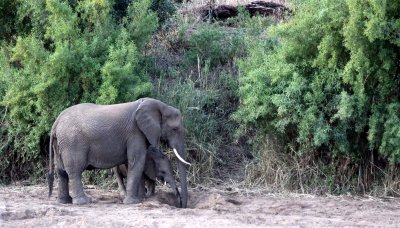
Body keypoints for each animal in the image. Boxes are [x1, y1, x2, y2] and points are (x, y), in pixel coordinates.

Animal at [47, 97, 191, 208]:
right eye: (174, 129)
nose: (181, 205)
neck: (158, 105)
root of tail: (56, 123)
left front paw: (140, 198)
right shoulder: (135, 132)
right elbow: (137, 160)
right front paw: (133, 202)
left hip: (60, 143)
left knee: (61, 171)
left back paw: (64, 202)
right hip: (72, 142)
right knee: (74, 171)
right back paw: (84, 202)